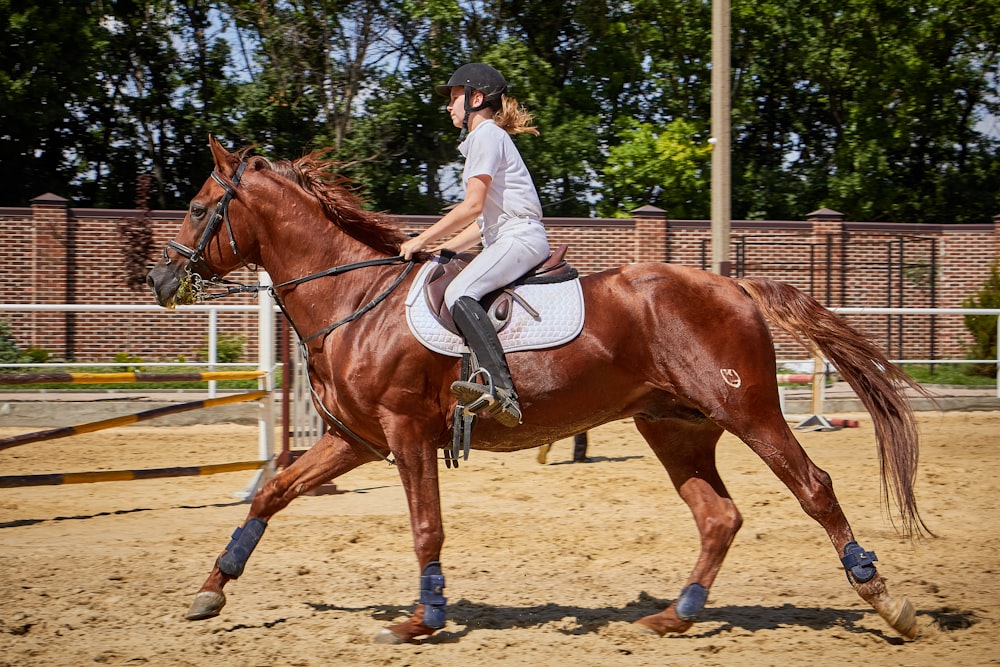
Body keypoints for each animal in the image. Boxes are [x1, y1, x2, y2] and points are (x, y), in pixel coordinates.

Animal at [146, 138, 928, 644]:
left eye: (197, 208)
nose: (159, 280)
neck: (354, 299)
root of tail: (731, 284)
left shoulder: (404, 433)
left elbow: (426, 526)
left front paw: (421, 619)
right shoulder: (357, 440)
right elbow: (272, 493)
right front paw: (213, 587)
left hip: (748, 410)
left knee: (814, 488)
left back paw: (886, 600)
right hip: (675, 426)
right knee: (718, 516)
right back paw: (676, 613)